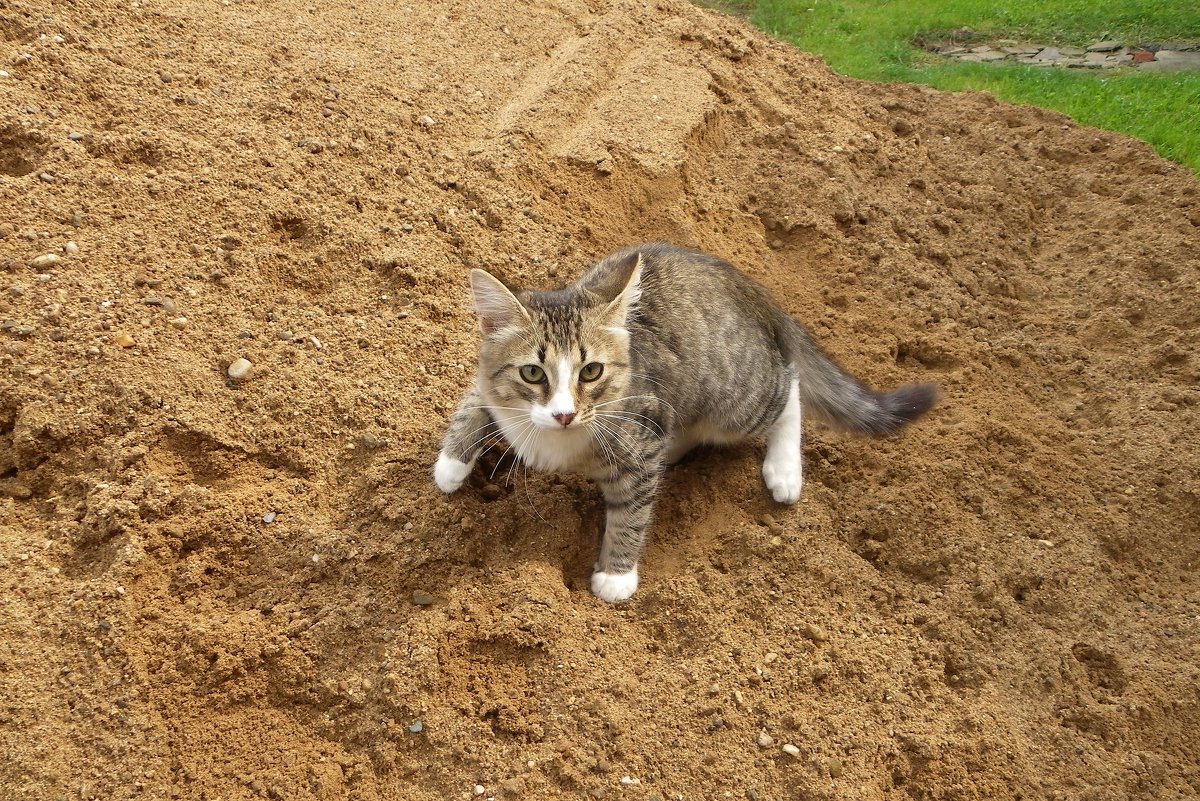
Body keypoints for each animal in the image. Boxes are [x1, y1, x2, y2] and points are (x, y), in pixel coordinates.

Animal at [434, 242, 936, 599]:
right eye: (533, 373)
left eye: (591, 371)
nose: (564, 413)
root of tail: (758, 295)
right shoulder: (489, 383)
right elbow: (474, 402)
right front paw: (451, 465)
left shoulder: (641, 429)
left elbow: (632, 511)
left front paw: (616, 576)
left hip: (736, 402)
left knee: (789, 384)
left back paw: (784, 469)